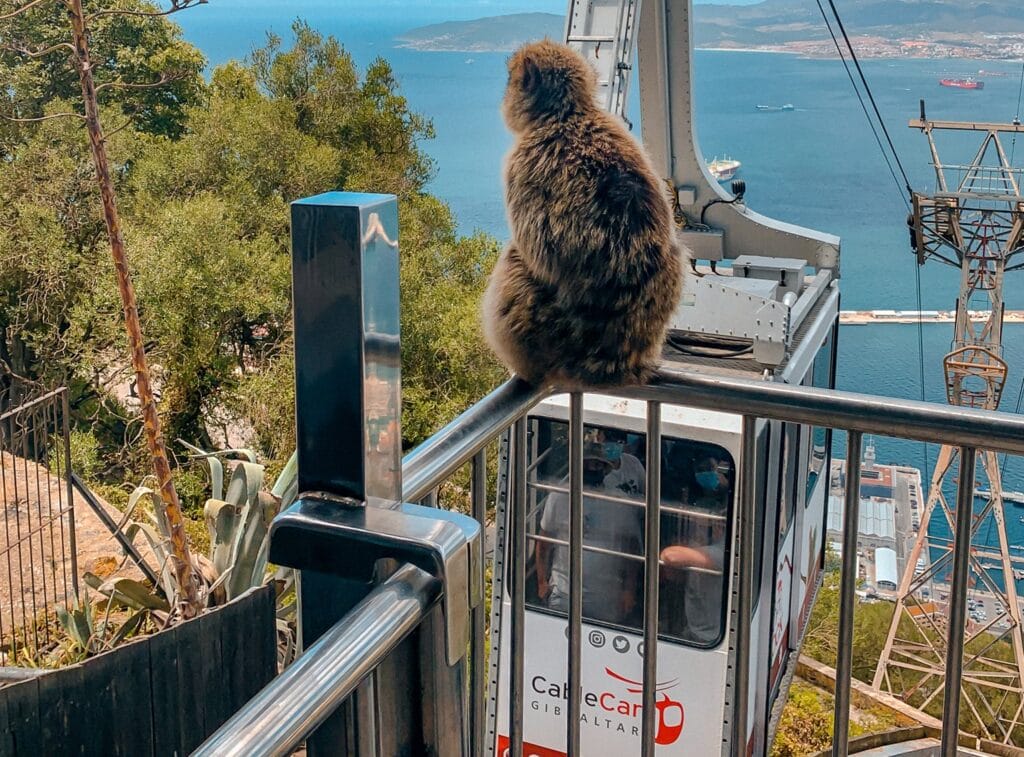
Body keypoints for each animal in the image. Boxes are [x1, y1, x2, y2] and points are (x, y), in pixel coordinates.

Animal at [481, 38, 688, 387]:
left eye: (511, 81)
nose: (502, 99)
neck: (567, 114)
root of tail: (617, 362)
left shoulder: (520, 165)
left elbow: (537, 253)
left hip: (547, 330)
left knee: (514, 264)